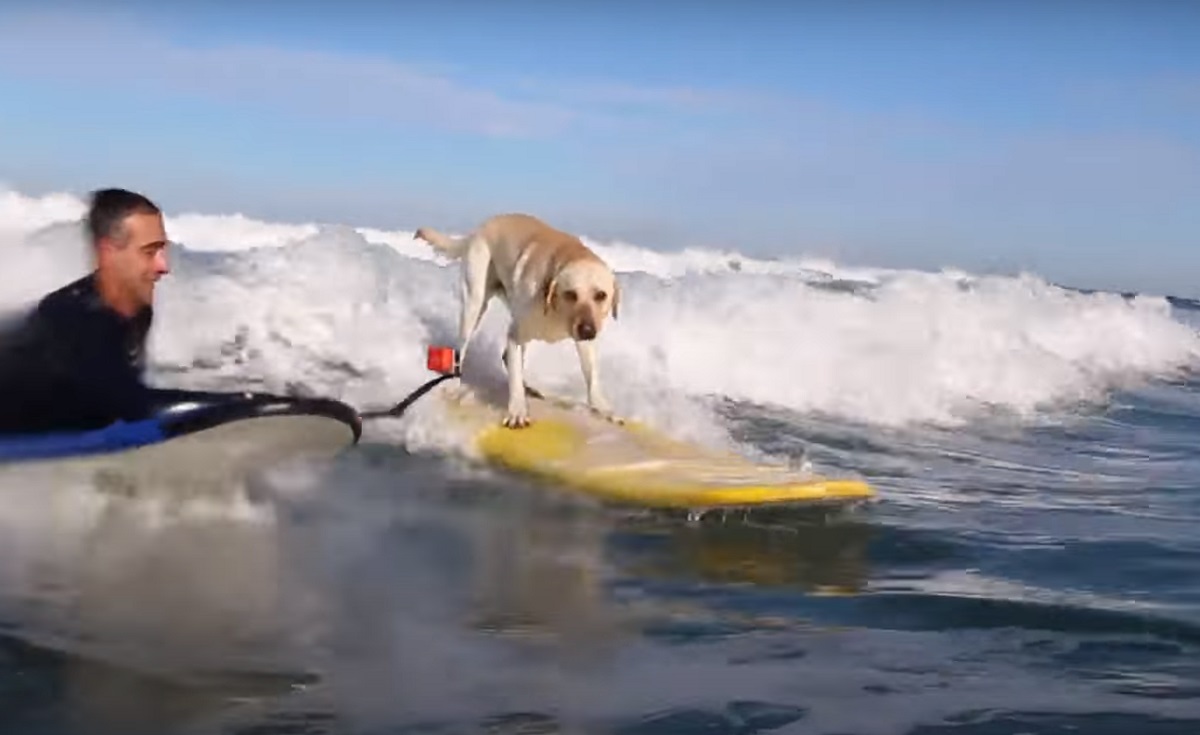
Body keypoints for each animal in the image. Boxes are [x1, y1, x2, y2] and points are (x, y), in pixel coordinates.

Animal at [410, 212, 619, 429]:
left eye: (601, 295)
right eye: (570, 294)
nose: (587, 330)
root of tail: (480, 227)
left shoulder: (584, 339)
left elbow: (591, 375)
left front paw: (602, 408)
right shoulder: (515, 336)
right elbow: (515, 379)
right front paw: (517, 411)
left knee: (506, 358)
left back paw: (529, 388)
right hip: (475, 305)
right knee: (462, 350)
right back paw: (456, 383)